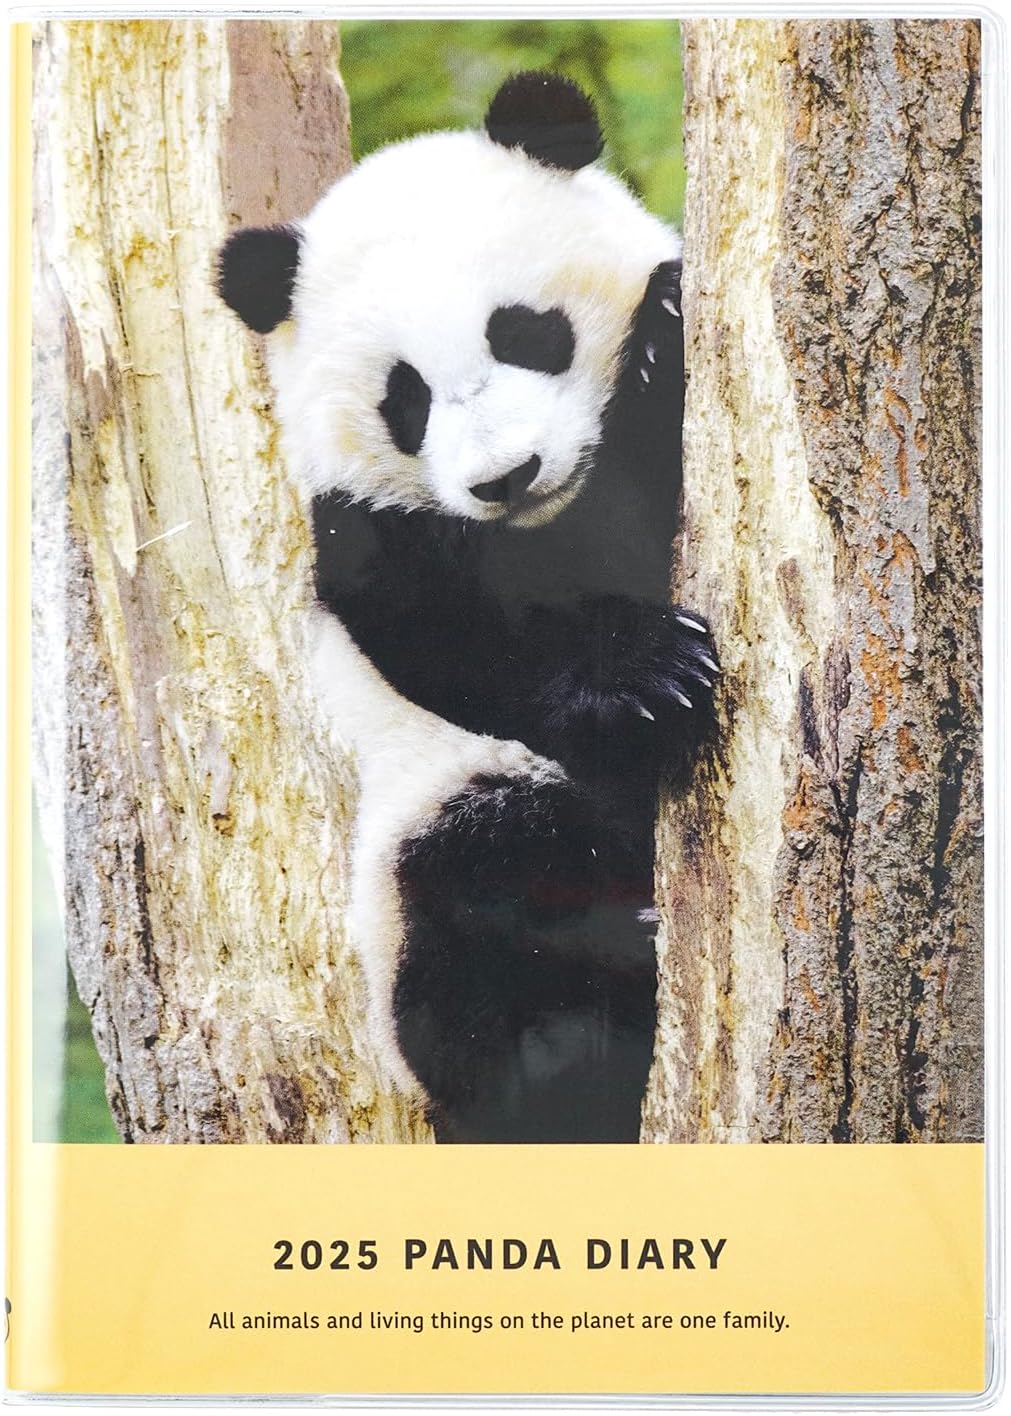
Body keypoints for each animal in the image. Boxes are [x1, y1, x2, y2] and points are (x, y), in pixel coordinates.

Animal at [217, 71, 718, 1143]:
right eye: (404, 398)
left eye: (524, 332)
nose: (505, 477)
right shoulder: (365, 524)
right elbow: (453, 642)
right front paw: (645, 678)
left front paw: (662, 338)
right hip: (428, 833)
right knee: (481, 905)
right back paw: (588, 1028)